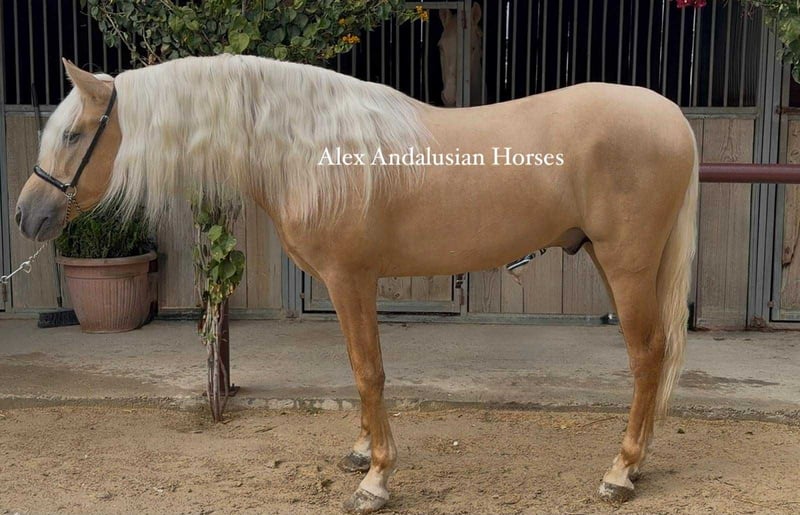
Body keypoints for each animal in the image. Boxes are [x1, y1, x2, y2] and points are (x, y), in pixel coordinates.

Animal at [16, 55, 698, 514]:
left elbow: (368, 370)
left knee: (647, 356)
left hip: (626, 265)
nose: (27, 217)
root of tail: (674, 120)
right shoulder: (346, 285)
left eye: (74, 135)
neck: (310, 147)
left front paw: (376, 480)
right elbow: (356, 370)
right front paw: (362, 454)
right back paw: (635, 466)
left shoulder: (351, 280)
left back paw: (619, 472)